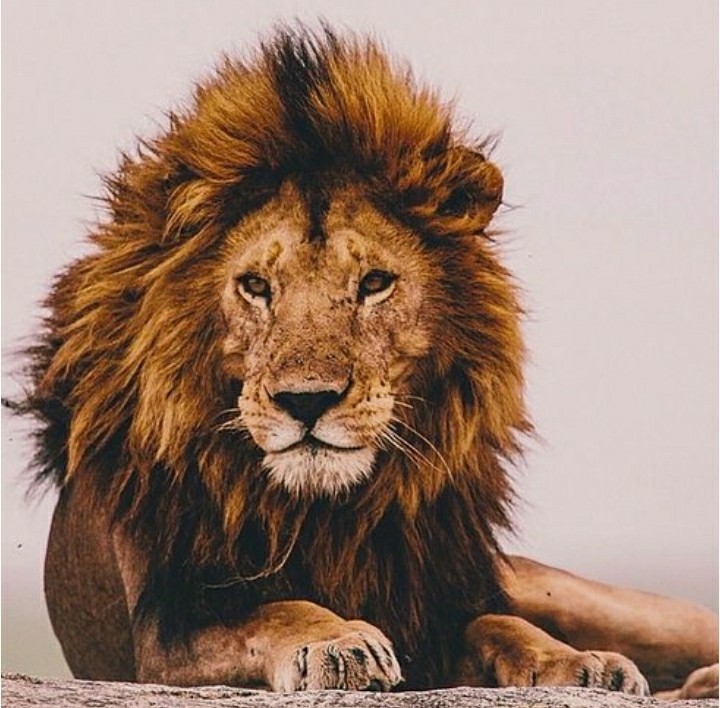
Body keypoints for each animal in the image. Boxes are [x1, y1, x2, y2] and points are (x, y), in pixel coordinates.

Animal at [18, 26, 716, 696]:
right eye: (255, 286)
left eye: (375, 283)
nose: (306, 401)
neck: (325, 514)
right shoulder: (161, 638)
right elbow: (276, 610)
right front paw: (338, 642)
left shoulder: (440, 609)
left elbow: (502, 622)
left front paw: (578, 663)